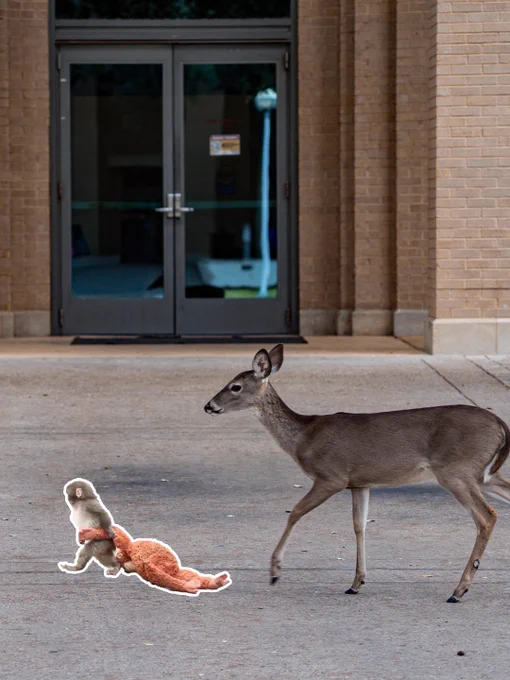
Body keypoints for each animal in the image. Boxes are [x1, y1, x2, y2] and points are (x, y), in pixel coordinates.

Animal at [204, 344, 510, 603]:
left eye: (235, 386)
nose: (209, 405)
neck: (303, 438)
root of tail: (500, 425)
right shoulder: (360, 483)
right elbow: (359, 526)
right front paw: (356, 583)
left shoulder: (332, 476)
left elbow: (295, 512)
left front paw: (275, 571)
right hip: (483, 475)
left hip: (456, 470)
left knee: (487, 517)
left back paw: (458, 590)